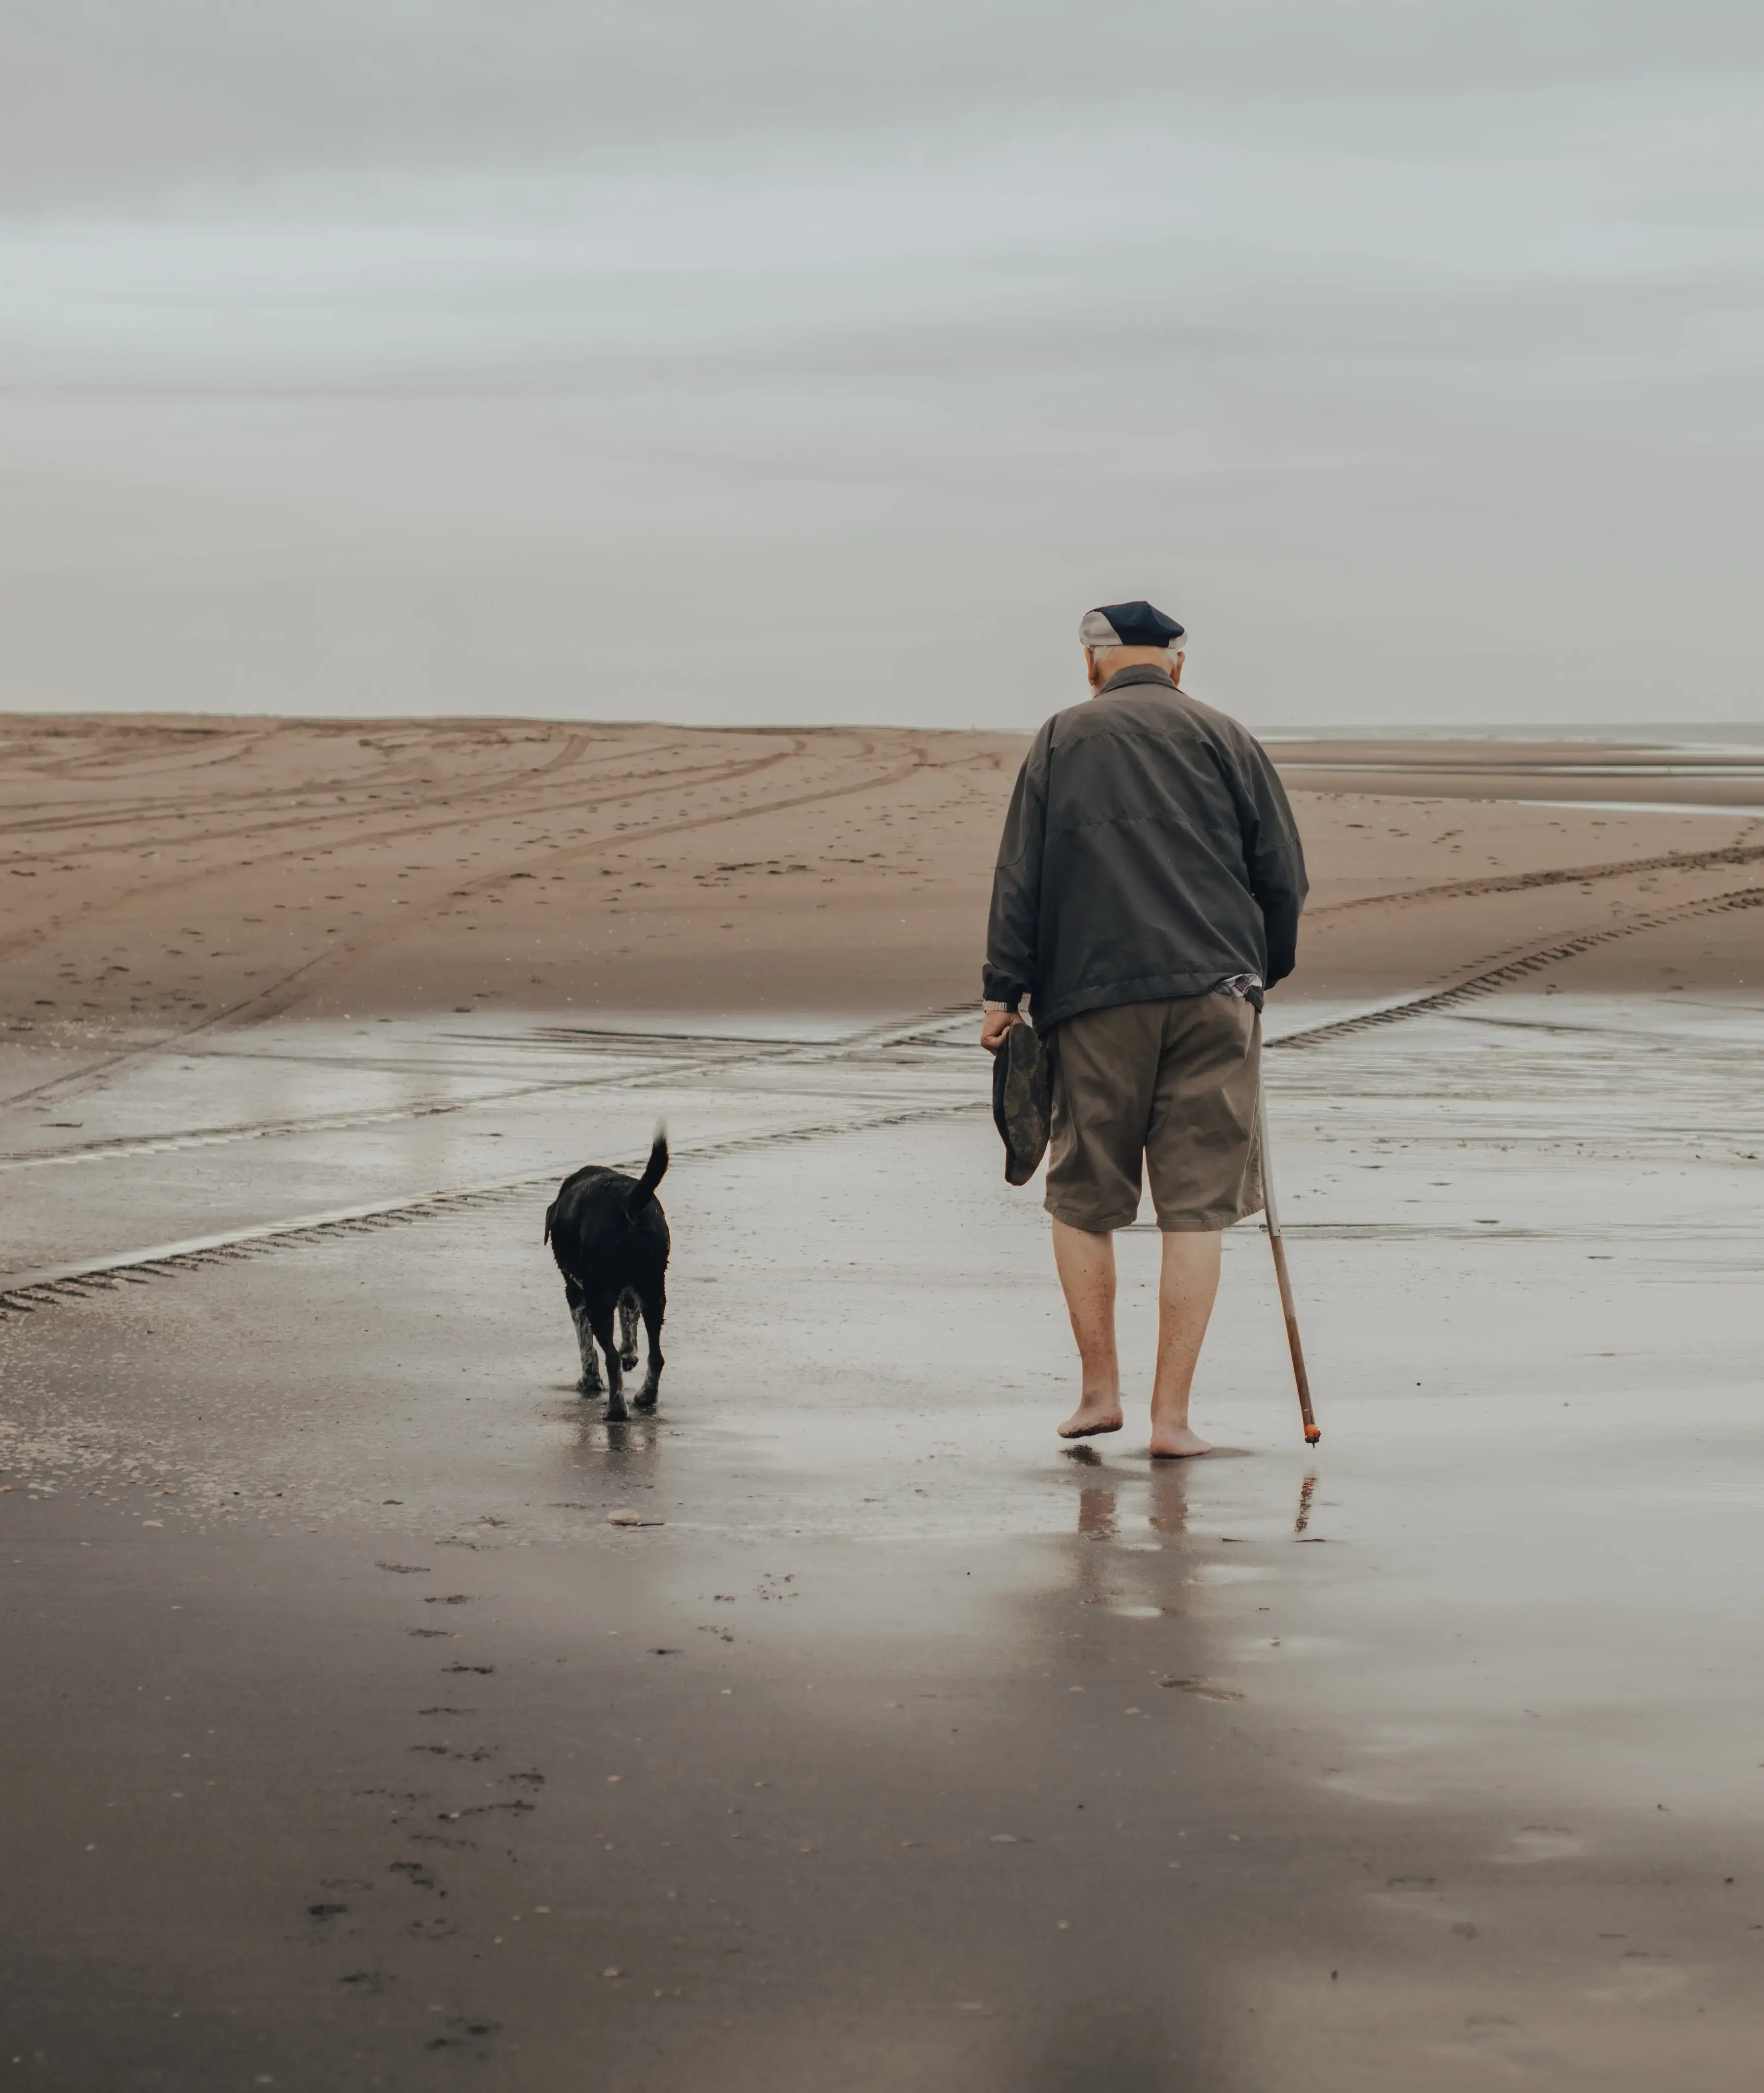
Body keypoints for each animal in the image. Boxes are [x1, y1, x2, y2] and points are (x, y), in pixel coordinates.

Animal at [544, 1138, 669, 1415]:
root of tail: (630, 1200)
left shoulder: (576, 1294)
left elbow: (587, 1347)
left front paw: (590, 1381)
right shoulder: (629, 1293)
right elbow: (629, 1322)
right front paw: (629, 1354)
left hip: (599, 1300)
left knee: (611, 1358)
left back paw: (616, 1410)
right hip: (654, 1291)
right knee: (656, 1356)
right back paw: (646, 1396)